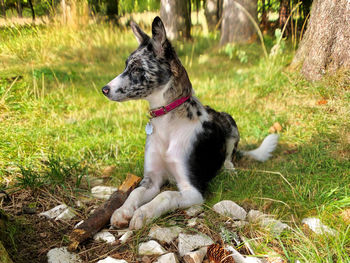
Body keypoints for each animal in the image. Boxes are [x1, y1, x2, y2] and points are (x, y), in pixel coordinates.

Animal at [102, 17, 278, 231]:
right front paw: (123, 211)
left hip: (230, 121)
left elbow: (166, 195)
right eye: (126, 66)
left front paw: (143, 213)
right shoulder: (151, 179)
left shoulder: (193, 189)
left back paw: (228, 169)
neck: (168, 124)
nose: (104, 89)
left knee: (229, 156)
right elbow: (135, 192)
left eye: (137, 69)